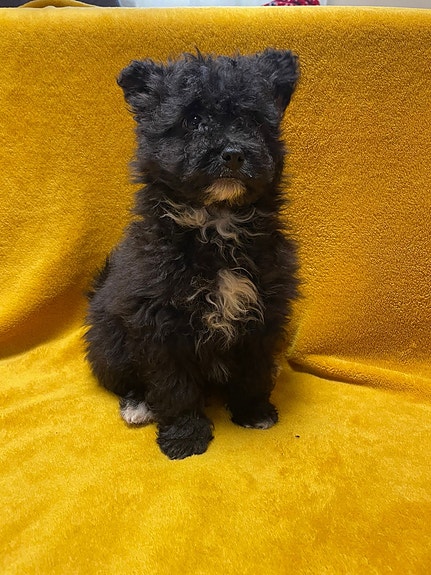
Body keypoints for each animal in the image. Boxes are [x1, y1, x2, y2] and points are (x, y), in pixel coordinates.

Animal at [85, 49, 299, 459]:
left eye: (252, 120)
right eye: (193, 121)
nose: (233, 154)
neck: (216, 225)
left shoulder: (263, 314)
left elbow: (253, 369)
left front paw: (253, 412)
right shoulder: (160, 325)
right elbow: (175, 387)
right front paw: (185, 437)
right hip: (111, 344)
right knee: (126, 380)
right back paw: (138, 406)